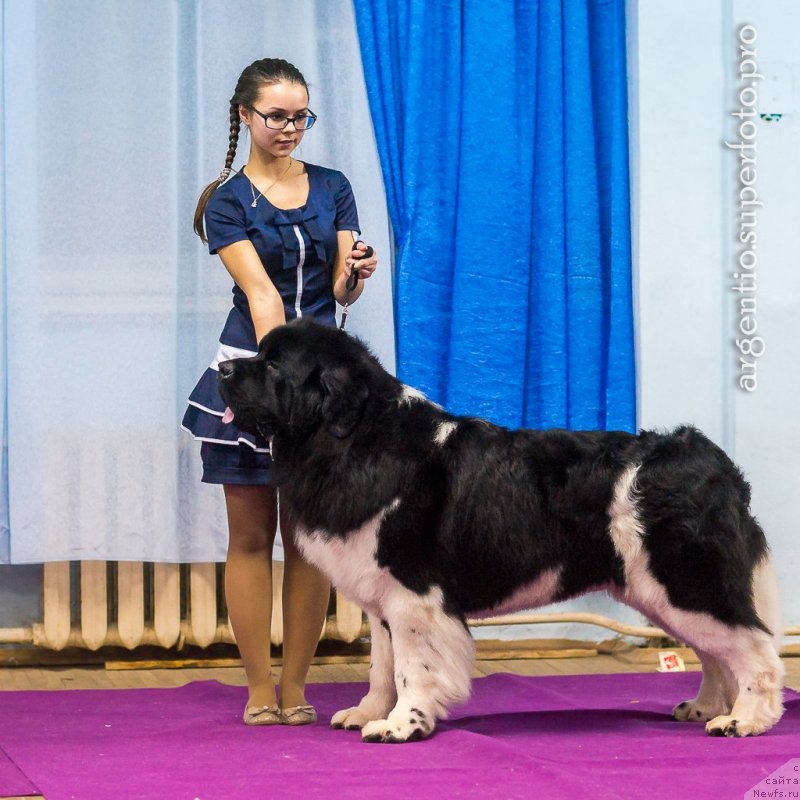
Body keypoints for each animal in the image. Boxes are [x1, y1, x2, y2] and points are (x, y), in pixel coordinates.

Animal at [217, 318, 780, 744]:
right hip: (663, 592)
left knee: (754, 648)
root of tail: (715, 463)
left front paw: (402, 725)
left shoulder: (414, 596)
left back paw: (744, 720)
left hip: (686, 581)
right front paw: (368, 713)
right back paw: (707, 707)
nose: (220, 367)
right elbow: (381, 664)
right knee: (715, 650)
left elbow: (410, 666)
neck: (354, 439)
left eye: (273, 365)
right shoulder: (381, 598)